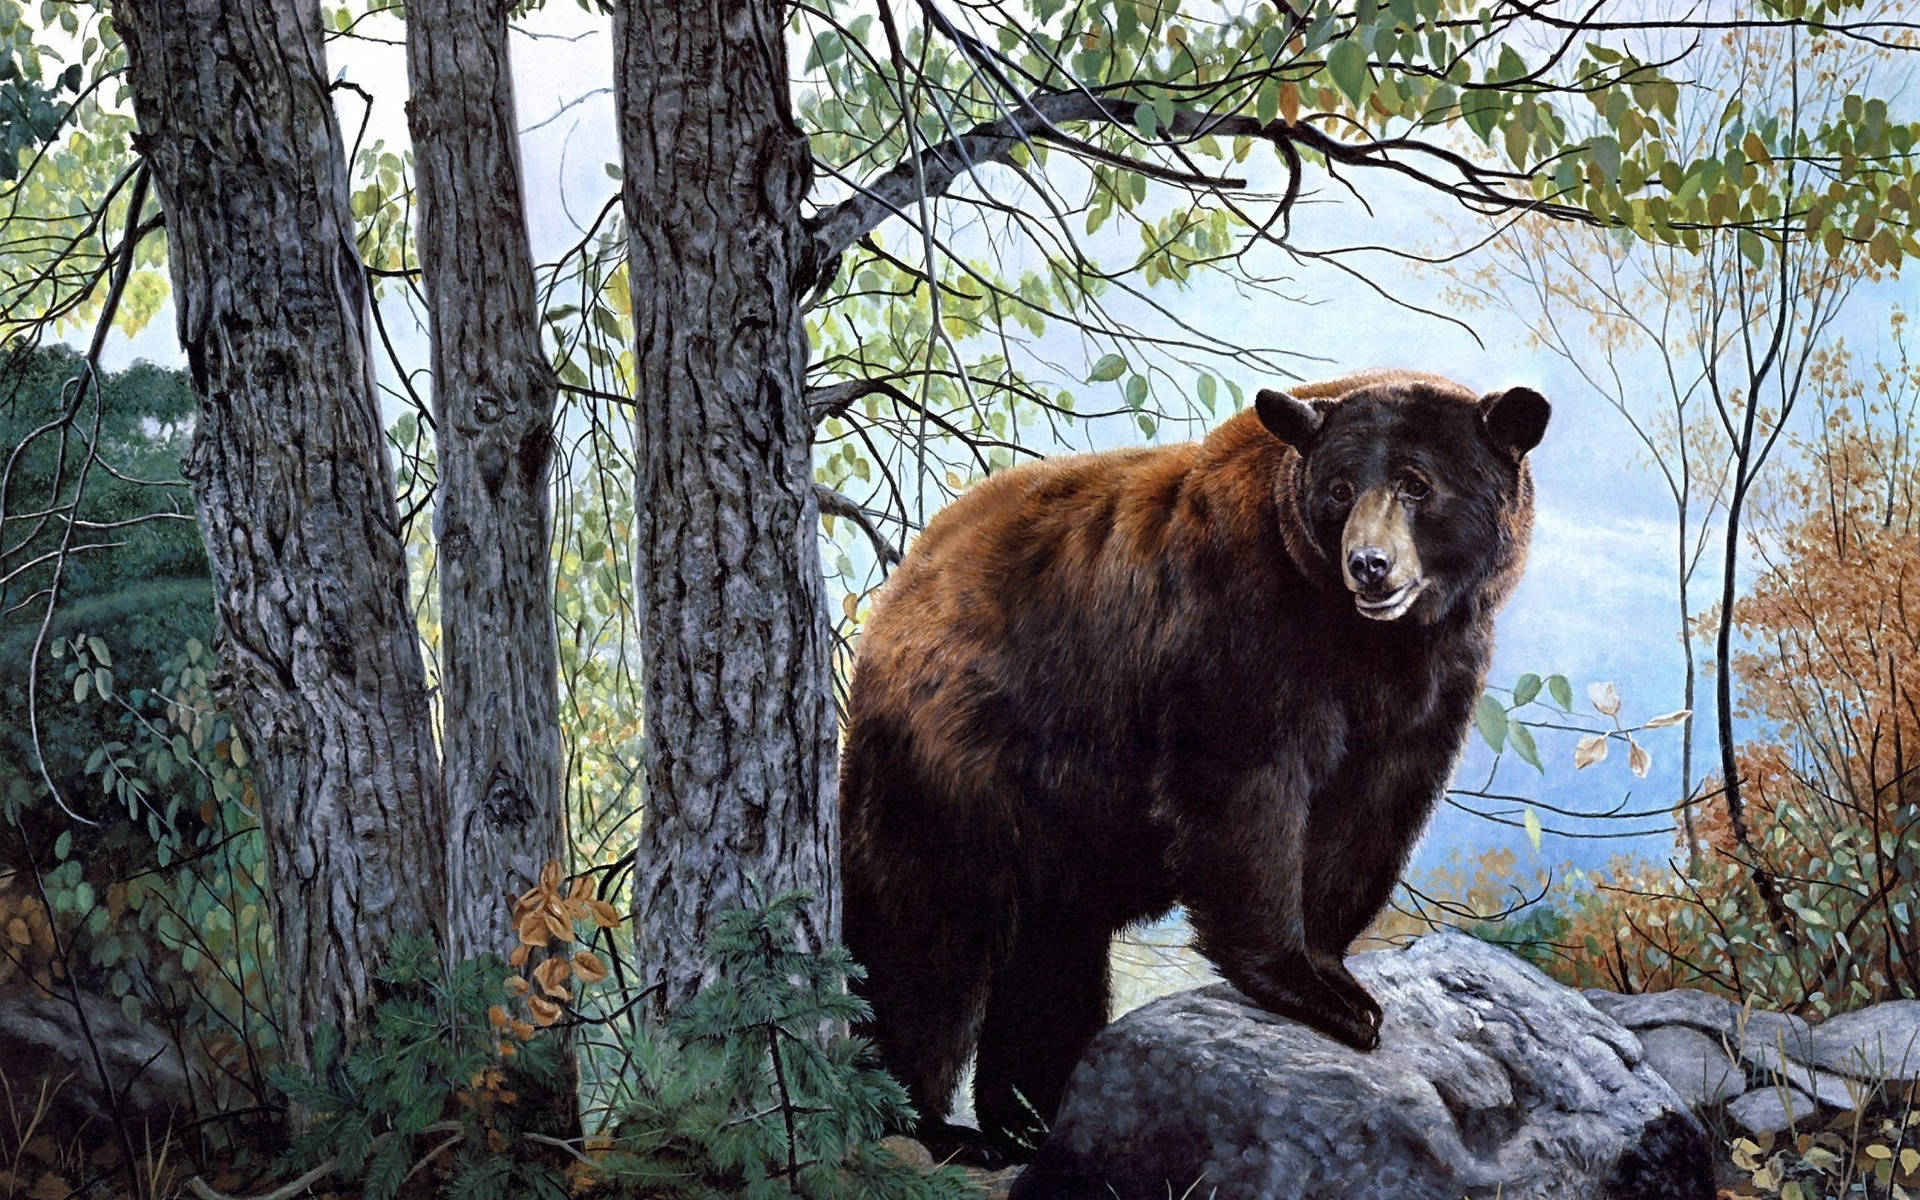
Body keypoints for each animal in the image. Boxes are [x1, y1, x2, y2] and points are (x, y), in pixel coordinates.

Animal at [837, 366, 1543, 1159]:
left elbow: (1372, 811)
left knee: (1052, 953)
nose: (1369, 566)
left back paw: (1032, 1113)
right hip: (955, 754)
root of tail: (901, 588)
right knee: (924, 935)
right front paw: (1310, 989)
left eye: (1417, 485)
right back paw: (924, 1119)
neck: (1364, 641)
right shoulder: (1238, 623)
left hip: (1058, 822)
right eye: (1338, 489)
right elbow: (1242, 789)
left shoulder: (1434, 678)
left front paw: (1335, 971)